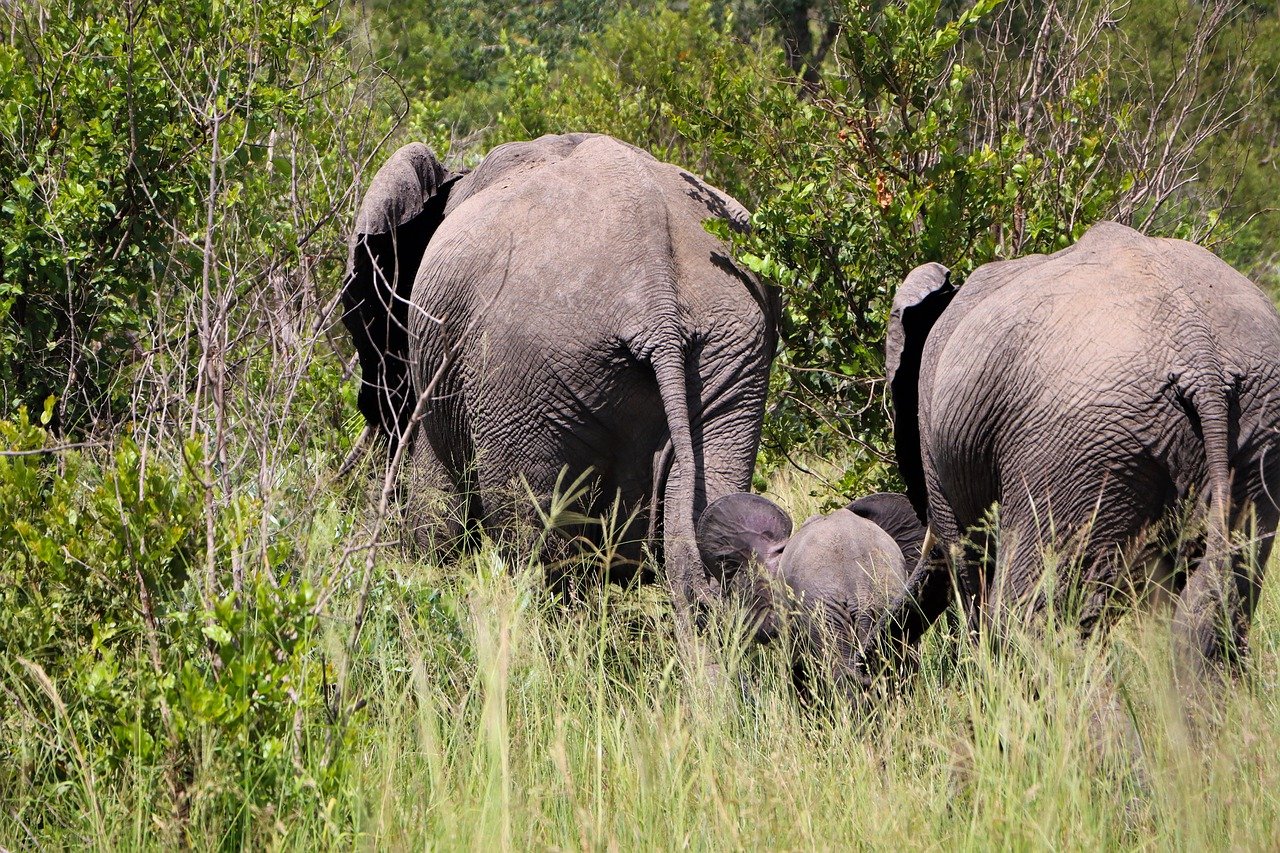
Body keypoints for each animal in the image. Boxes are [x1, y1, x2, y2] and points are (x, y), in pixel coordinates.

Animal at [343, 131, 778, 612]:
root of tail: (657, 302)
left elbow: (435, 510)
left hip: (524, 374)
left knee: (537, 547)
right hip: (729, 354)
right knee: (702, 538)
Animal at [855, 217, 1280, 676]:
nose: (862, 668)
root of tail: (1199, 358)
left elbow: (965, 560)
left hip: (1080, 450)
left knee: (1035, 612)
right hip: (1255, 434)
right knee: (1218, 603)